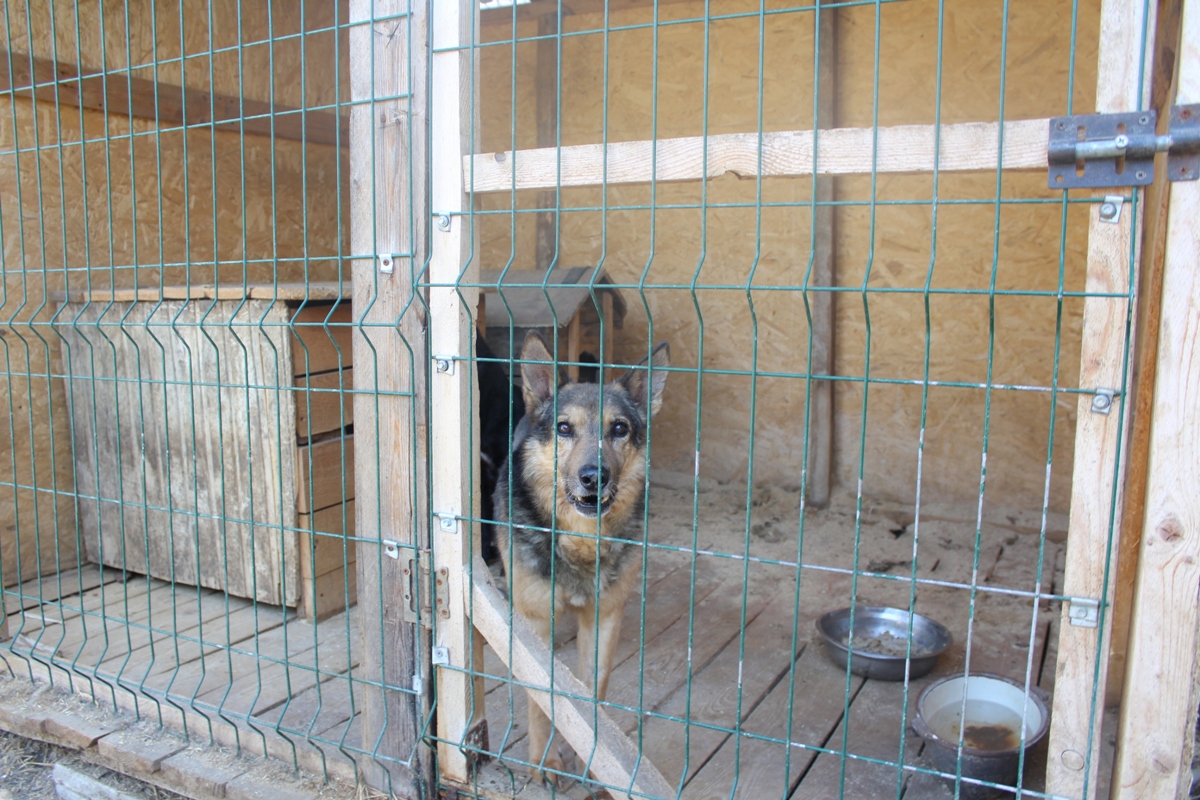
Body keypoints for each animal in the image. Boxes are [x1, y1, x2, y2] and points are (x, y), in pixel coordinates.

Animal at [492, 331, 672, 782]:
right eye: (564, 428)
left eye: (619, 429)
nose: (595, 476)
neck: (580, 541)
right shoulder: (537, 620)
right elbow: (542, 695)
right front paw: (545, 760)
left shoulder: (605, 617)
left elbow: (595, 689)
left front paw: (593, 756)